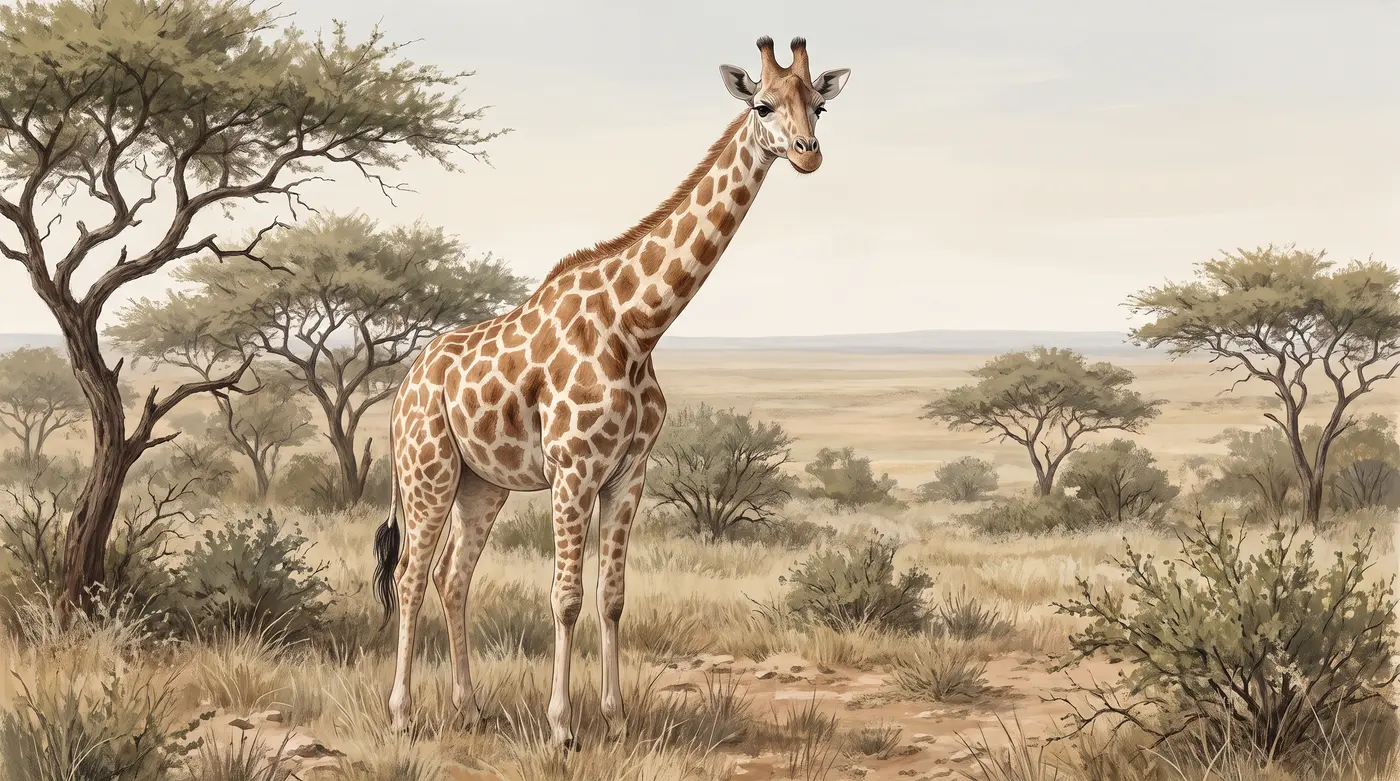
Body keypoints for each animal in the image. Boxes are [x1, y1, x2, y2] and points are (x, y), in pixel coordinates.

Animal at [371, 35, 851, 748]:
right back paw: (403, 714)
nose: (807, 152)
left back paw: (469, 708)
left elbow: (612, 596)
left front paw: (617, 718)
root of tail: (402, 388)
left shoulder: (629, 471)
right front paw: (562, 727)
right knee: (409, 575)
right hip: (426, 470)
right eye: (762, 104)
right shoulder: (573, 470)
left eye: (818, 104)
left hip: (481, 482)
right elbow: (566, 597)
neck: (637, 325)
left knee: (451, 577)